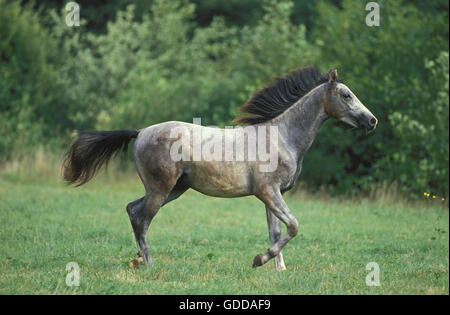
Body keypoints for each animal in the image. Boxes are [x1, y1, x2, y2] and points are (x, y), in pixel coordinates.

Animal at [64, 67, 376, 272]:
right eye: (346, 95)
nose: (371, 120)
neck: (282, 137)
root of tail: (140, 132)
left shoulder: (272, 195)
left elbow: (276, 232)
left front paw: (279, 270)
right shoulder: (268, 191)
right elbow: (293, 226)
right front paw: (259, 260)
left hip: (174, 189)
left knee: (132, 209)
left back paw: (138, 259)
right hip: (161, 188)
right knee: (142, 218)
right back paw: (150, 264)